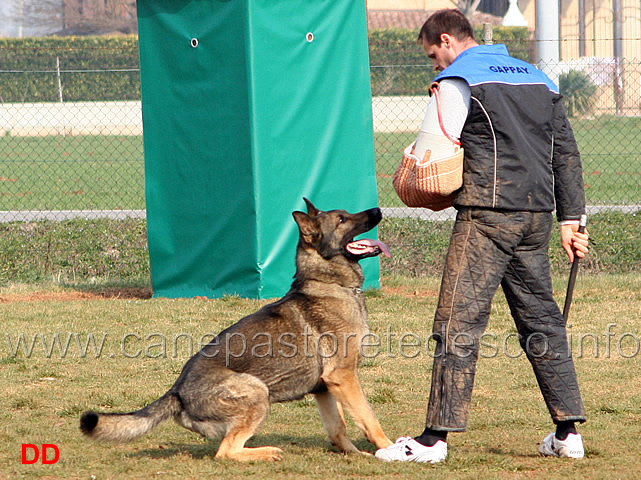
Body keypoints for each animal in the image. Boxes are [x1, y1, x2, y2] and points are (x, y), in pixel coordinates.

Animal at [80, 199, 392, 462]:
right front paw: (390, 449)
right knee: (225, 451)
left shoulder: (326, 388)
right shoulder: (343, 377)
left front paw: (356, 455)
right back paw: (267, 452)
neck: (330, 283)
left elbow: (338, 428)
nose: (378, 209)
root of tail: (177, 392)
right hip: (257, 392)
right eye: (342, 219)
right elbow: (369, 418)